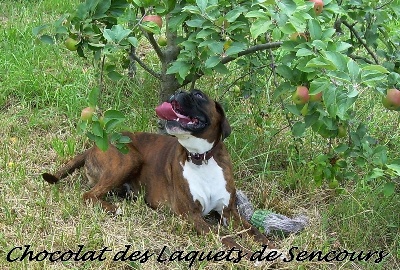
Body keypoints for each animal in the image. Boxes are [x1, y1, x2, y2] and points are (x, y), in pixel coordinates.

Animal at [42, 89, 274, 254]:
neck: (201, 158)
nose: (177, 92)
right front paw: (246, 252)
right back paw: (114, 208)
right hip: (129, 158)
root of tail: (95, 145)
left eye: (198, 95)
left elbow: (253, 231)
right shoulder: (192, 215)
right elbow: (226, 238)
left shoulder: (229, 213)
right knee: (89, 195)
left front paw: (271, 247)